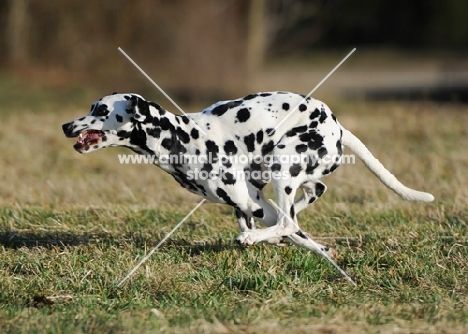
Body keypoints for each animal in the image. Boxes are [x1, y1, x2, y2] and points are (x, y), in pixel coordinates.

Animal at [63, 91, 436, 258]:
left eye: (101, 110)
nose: (66, 125)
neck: (182, 137)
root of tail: (337, 125)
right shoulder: (248, 204)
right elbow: (294, 232)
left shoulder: (253, 203)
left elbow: (288, 230)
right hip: (286, 174)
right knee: (311, 195)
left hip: (283, 167)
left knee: (287, 219)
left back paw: (261, 237)